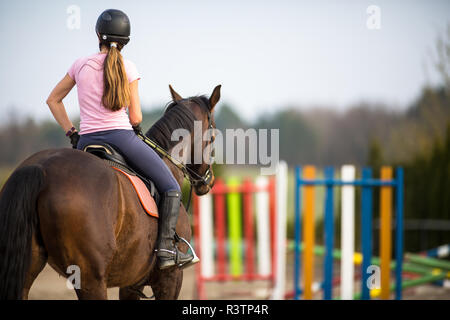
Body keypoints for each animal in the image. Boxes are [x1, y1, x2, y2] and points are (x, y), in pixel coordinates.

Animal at [0, 85, 220, 300]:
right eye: (213, 137)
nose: (208, 181)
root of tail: (41, 167)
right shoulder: (171, 278)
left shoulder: (131, 284)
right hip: (90, 278)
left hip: (27, 270)